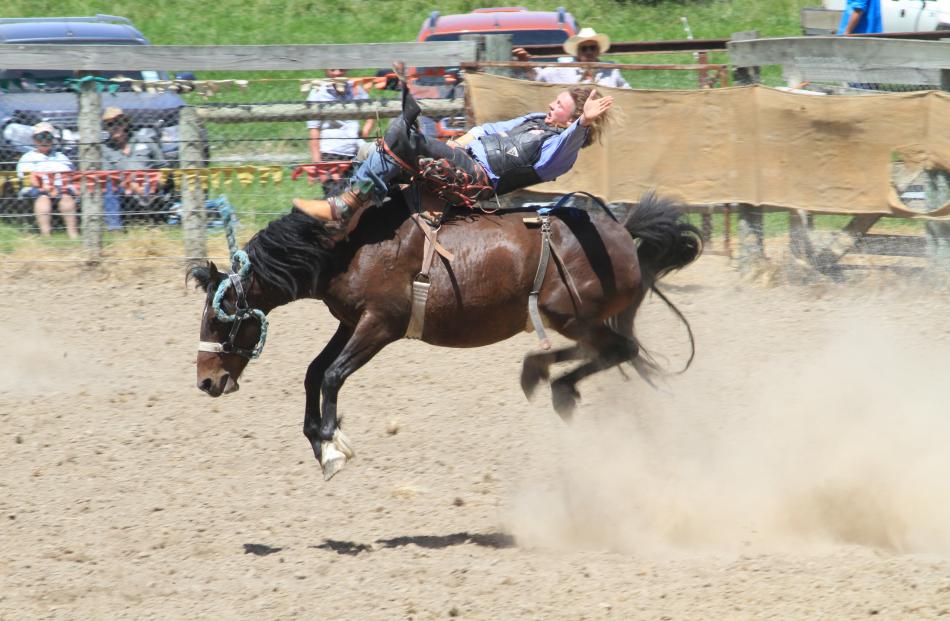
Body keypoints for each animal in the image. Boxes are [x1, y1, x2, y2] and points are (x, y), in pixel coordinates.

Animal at [190, 191, 704, 478]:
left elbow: (333, 375)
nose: (206, 382)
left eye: (219, 318)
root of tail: (622, 232)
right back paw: (545, 378)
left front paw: (332, 445)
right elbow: (314, 372)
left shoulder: (380, 324)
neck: (351, 247)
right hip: (573, 317)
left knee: (620, 347)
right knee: (607, 349)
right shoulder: (350, 321)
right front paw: (319, 441)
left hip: (568, 314)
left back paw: (551, 381)